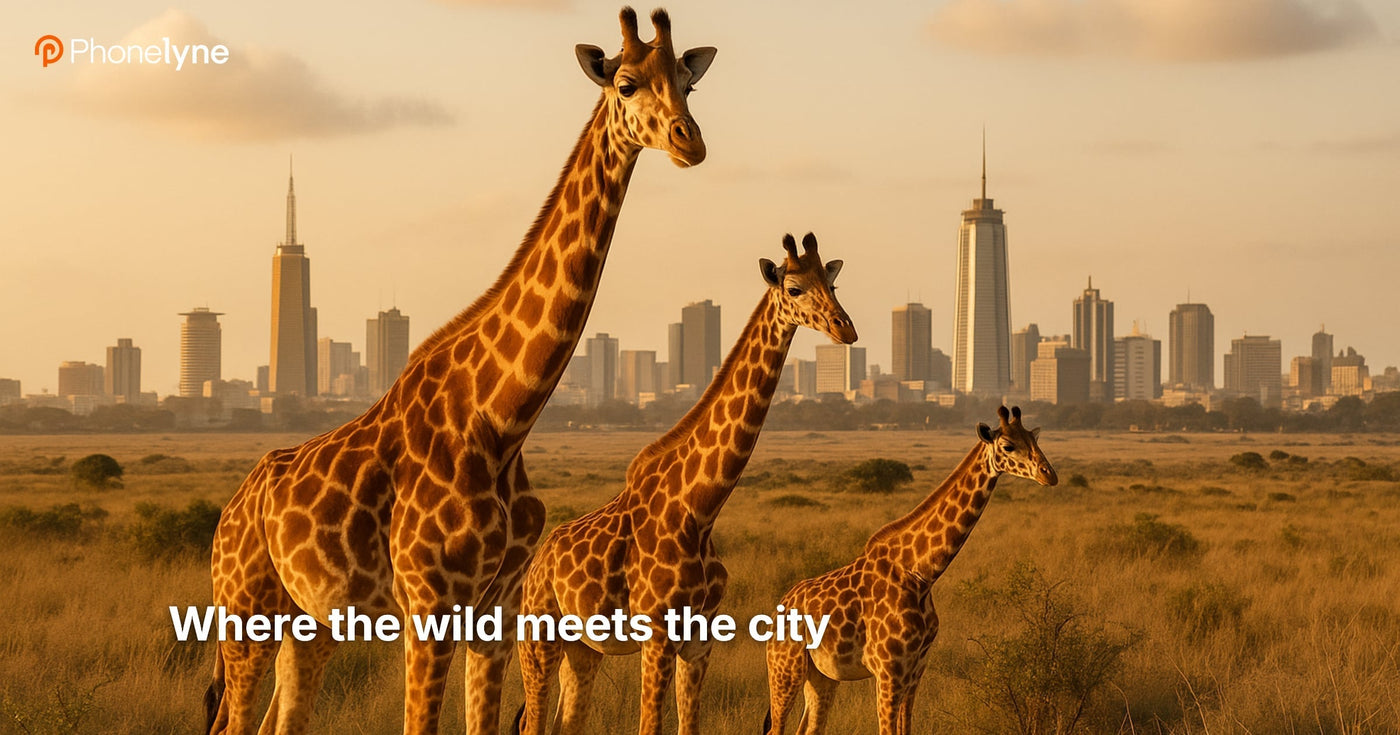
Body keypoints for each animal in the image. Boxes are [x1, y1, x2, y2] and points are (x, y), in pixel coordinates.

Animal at [205, 9, 717, 735]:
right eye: (625, 83)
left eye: (688, 83)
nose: (688, 141)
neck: (500, 419)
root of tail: (228, 511)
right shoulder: (428, 607)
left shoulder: (494, 613)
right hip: (245, 609)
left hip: (311, 623)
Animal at [512, 233, 857, 735]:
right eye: (793, 288)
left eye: (832, 284)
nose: (845, 329)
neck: (701, 508)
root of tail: (538, 563)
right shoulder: (656, 633)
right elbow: (649, 725)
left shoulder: (699, 639)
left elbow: (687, 725)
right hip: (539, 634)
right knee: (532, 721)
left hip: (584, 648)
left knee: (565, 721)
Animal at [762, 406, 1057, 735]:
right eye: (1008, 446)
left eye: (1034, 438)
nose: (1049, 474)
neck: (922, 574)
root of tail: (778, 608)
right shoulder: (889, 669)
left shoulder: (916, 668)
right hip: (784, 668)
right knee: (776, 728)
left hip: (823, 676)